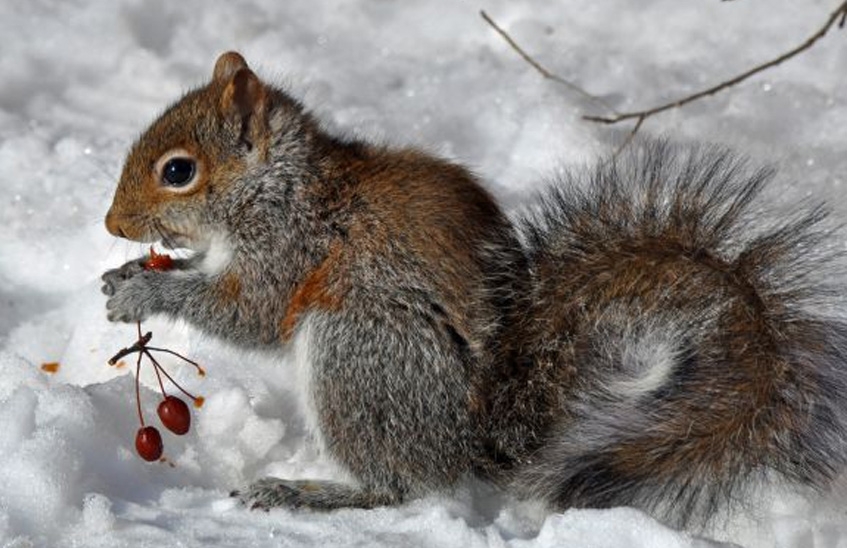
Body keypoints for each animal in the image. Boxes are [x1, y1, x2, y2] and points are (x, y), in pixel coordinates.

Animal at [101, 52, 847, 532]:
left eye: (178, 171)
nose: (112, 226)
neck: (277, 186)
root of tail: (475, 437)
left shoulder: (290, 248)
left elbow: (246, 313)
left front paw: (146, 294)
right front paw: (125, 276)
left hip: (359, 348)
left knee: (400, 485)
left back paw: (305, 492)